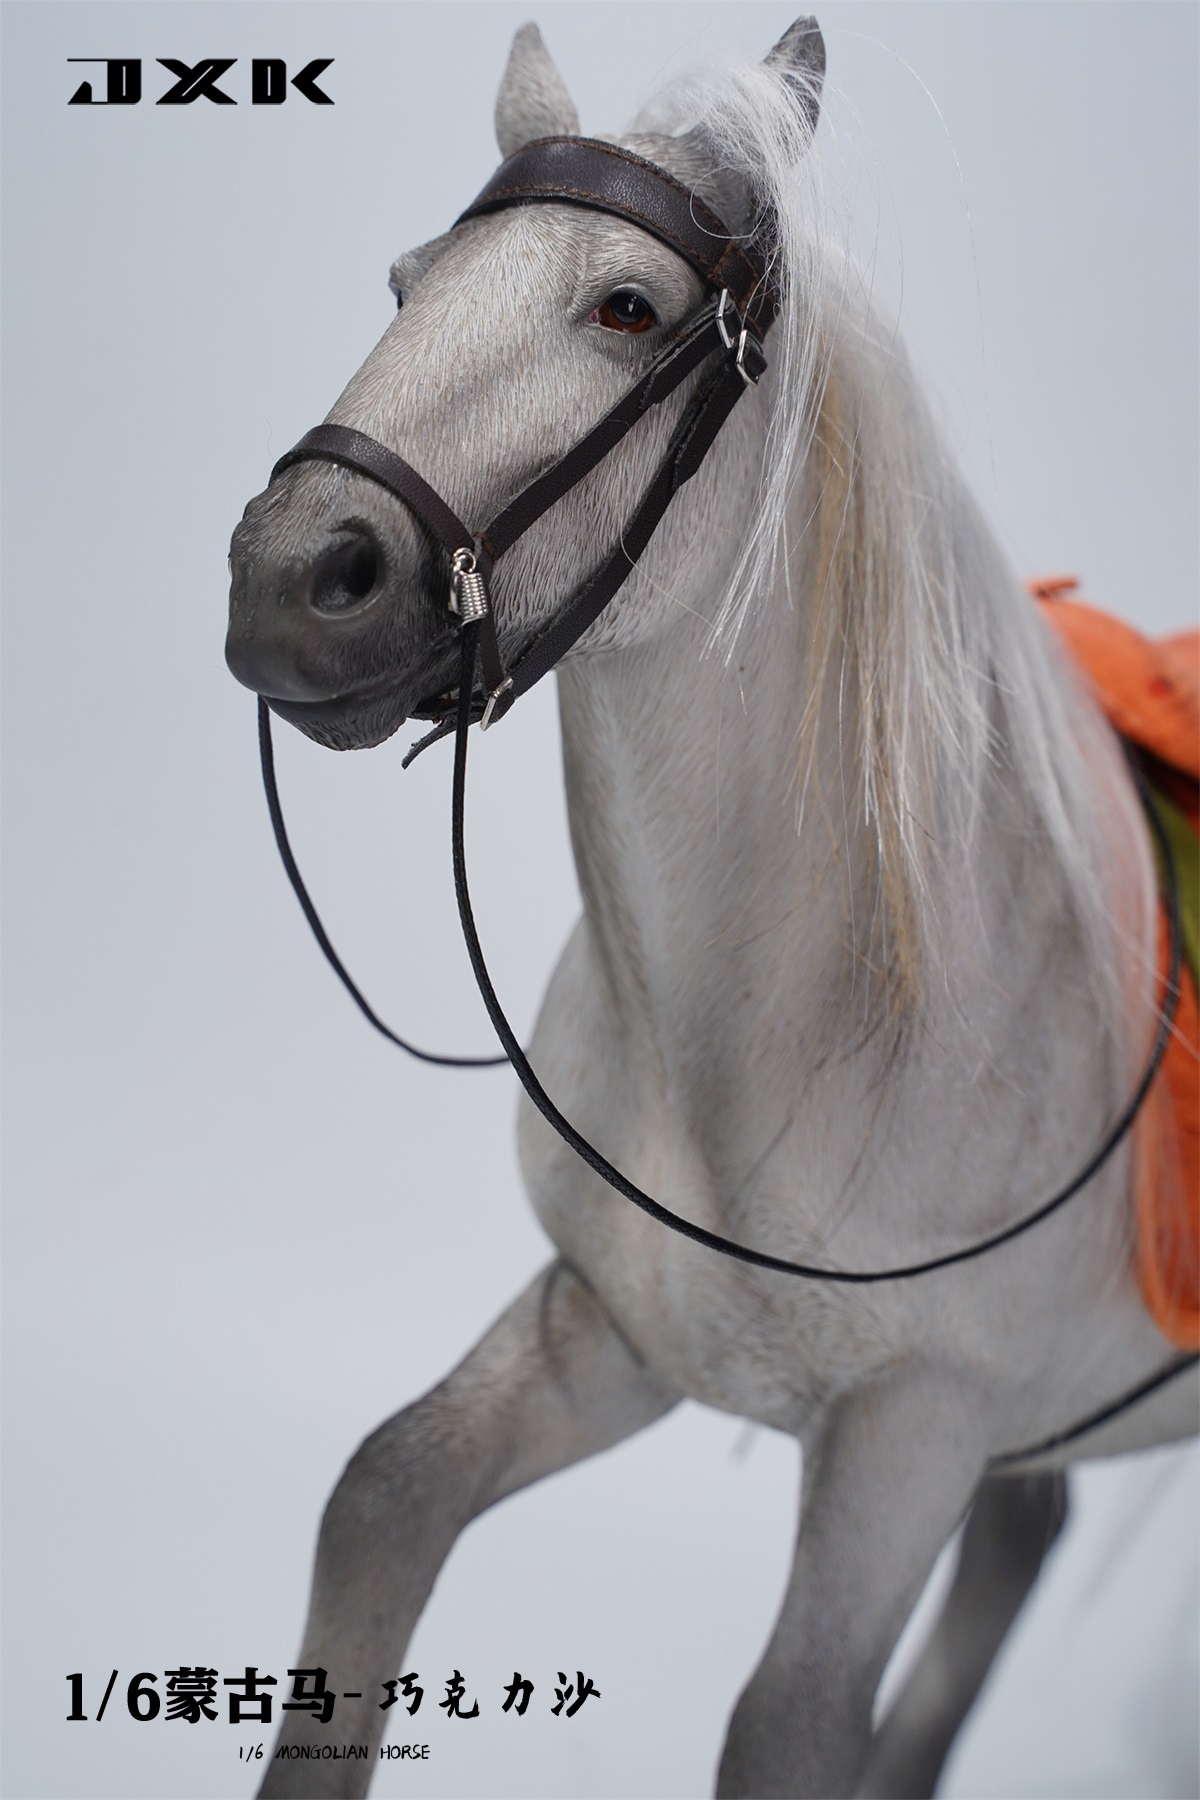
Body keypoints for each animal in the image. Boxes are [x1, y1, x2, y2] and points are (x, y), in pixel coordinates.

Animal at [226, 17, 1198, 1797]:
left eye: (627, 308)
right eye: (404, 282)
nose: (290, 579)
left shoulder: (913, 1431)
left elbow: (792, 1725)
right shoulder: (613, 1332)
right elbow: (385, 1490)